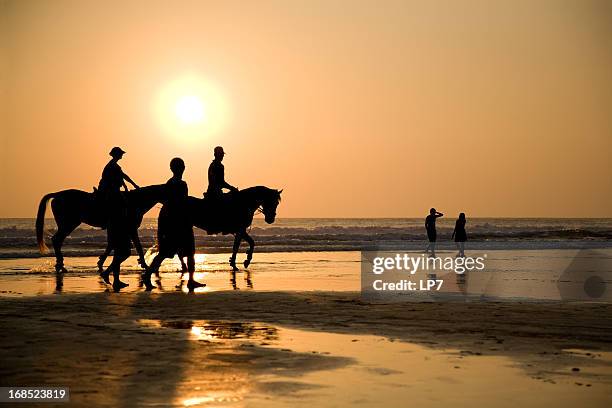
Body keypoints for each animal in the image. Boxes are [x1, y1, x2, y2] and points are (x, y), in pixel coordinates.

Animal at [36, 185, 166, 274]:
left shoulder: (122, 228)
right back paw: (61, 266)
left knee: (57, 240)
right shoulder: (130, 228)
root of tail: (56, 194)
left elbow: (113, 245)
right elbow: (137, 246)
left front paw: (100, 262)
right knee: (57, 240)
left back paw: (60, 266)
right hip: (69, 224)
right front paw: (145, 265)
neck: (134, 201)